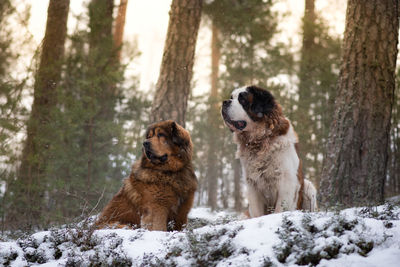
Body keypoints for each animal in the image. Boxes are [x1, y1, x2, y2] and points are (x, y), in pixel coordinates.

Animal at [220, 86, 318, 218]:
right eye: (231, 97)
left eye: (243, 100)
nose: (225, 102)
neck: (261, 140)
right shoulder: (252, 185)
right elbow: (257, 212)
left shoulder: (287, 182)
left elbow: (280, 209)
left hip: (308, 186)